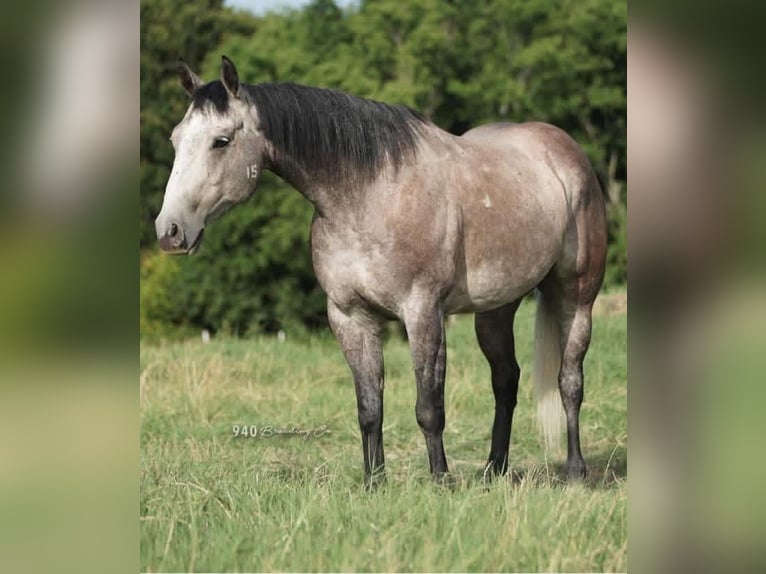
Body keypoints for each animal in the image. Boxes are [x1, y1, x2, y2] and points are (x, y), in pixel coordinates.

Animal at [155, 56, 607, 485]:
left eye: (221, 141)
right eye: (176, 140)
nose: (169, 231)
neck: (369, 196)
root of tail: (565, 152)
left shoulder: (422, 313)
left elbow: (429, 406)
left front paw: (440, 481)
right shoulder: (350, 317)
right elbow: (370, 407)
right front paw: (374, 482)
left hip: (577, 298)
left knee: (570, 382)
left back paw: (575, 470)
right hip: (496, 308)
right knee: (506, 380)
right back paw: (493, 469)